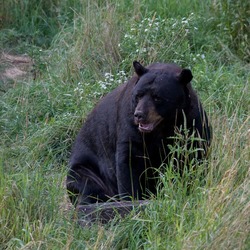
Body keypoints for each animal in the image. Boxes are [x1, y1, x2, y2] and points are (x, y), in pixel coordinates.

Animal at [66, 60, 211, 205]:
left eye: (157, 97)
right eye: (138, 95)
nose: (139, 115)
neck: (163, 126)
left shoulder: (193, 122)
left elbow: (196, 155)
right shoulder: (129, 125)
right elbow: (129, 160)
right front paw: (131, 199)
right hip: (86, 170)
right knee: (88, 185)